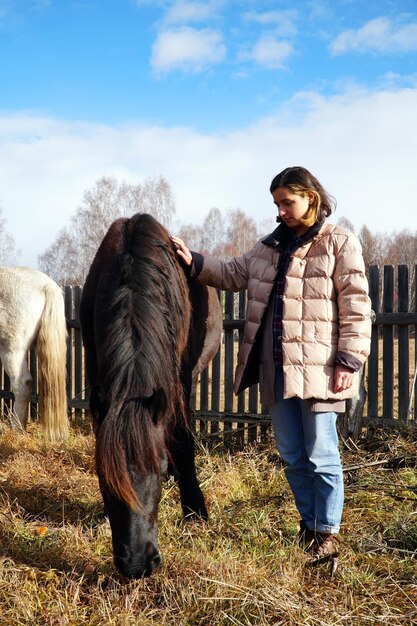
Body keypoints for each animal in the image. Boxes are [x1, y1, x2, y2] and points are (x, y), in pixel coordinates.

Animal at [79, 212, 221, 576]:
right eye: (103, 474)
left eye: (155, 469)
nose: (137, 564)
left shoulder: (179, 380)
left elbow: (182, 441)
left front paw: (195, 510)